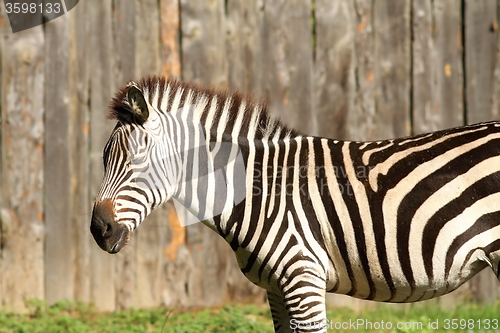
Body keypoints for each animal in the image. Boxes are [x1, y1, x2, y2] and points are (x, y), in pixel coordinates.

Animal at [92, 76, 500, 332]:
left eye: (137, 161)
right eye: (103, 159)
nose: (99, 230)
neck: (259, 191)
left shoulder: (304, 279)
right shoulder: (275, 289)